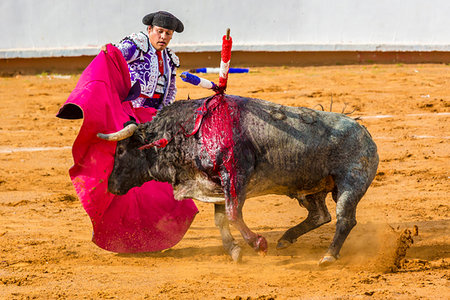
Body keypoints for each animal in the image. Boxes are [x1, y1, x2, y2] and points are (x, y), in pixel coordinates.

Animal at [98, 95, 380, 266]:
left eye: (120, 151)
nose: (111, 186)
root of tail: (364, 132)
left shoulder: (235, 177)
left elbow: (234, 214)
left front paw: (259, 244)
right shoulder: (214, 184)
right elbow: (220, 219)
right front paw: (234, 250)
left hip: (350, 185)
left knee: (344, 219)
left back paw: (328, 256)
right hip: (309, 189)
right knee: (321, 215)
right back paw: (286, 239)